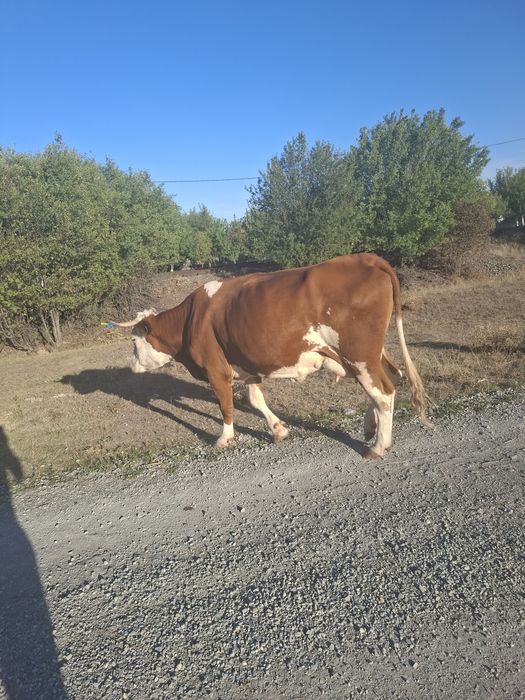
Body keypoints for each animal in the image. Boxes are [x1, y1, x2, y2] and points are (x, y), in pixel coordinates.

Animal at [111, 254, 429, 458]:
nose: (131, 365)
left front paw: (224, 438)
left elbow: (225, 405)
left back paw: (378, 445)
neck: (191, 319)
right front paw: (278, 430)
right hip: (371, 353)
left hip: (359, 353)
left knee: (383, 392)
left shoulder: (216, 369)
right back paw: (369, 428)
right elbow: (255, 400)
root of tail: (366, 258)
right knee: (391, 379)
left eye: (133, 340)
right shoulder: (247, 363)